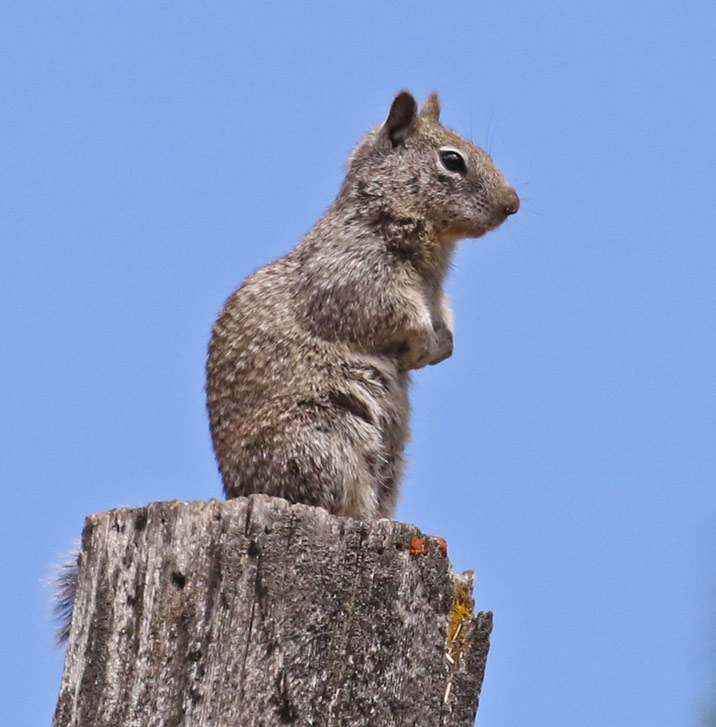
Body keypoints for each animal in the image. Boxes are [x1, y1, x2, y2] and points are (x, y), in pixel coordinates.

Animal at [206, 90, 519, 521]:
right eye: (453, 160)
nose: (513, 203)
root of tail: (239, 492)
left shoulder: (437, 296)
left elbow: (443, 319)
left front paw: (443, 345)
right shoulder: (353, 278)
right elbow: (393, 313)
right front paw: (425, 341)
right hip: (322, 440)